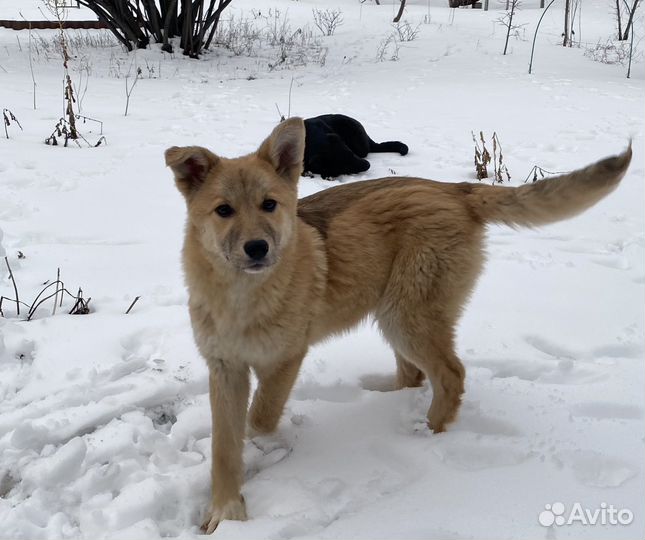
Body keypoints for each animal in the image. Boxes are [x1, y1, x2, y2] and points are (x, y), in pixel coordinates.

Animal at [164, 119, 632, 532]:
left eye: (270, 205)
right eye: (224, 211)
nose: (258, 248)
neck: (241, 295)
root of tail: (453, 189)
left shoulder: (286, 358)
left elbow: (259, 418)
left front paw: (267, 453)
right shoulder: (224, 367)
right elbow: (225, 446)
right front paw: (226, 511)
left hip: (407, 315)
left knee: (450, 374)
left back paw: (428, 436)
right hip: (395, 313)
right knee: (413, 373)